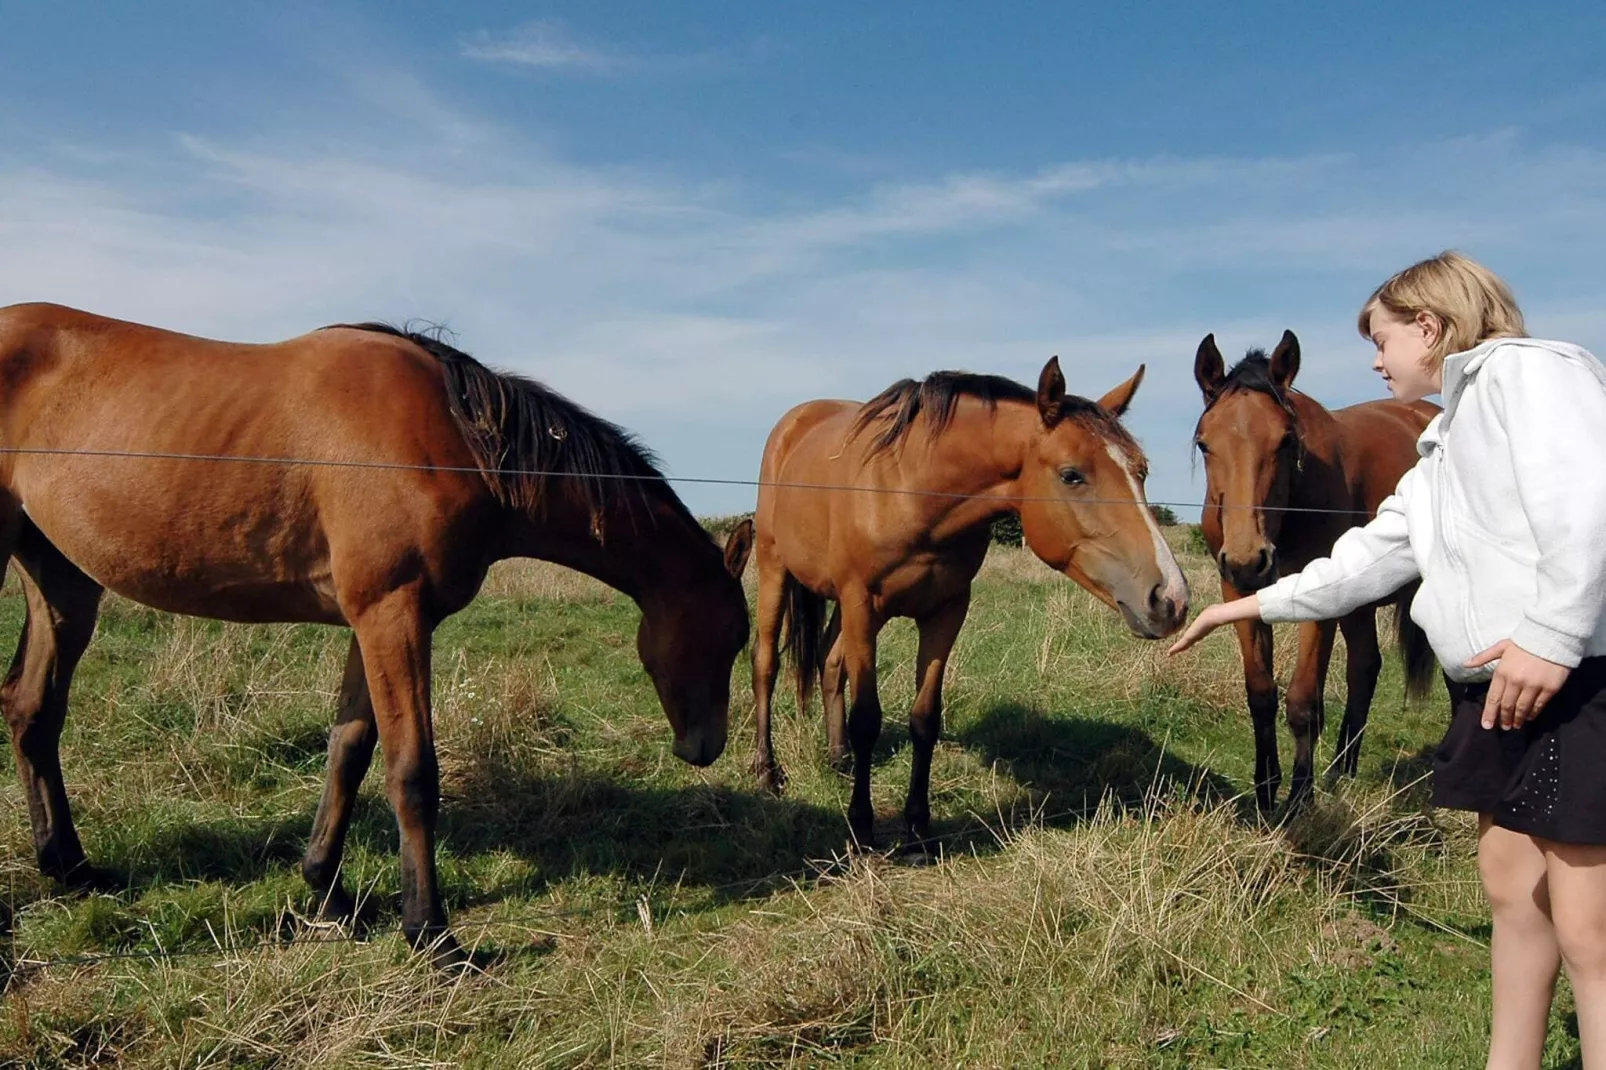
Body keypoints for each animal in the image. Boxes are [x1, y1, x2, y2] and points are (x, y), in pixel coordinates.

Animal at [0, 302, 751, 963]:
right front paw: (432, 934)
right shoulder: (394, 615)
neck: (457, 438)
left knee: (33, 710)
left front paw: (328, 893)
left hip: (62, 583)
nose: (704, 747)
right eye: (733, 635)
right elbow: (412, 771)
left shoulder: (371, 621)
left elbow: (349, 752)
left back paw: (71, 868)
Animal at [751, 358, 1194, 848]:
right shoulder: (861, 603)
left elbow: (925, 718)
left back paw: (838, 757)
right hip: (776, 568)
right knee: (766, 663)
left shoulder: (946, 610)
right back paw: (768, 771)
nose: (1170, 598)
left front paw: (917, 827)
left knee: (830, 664)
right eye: (1071, 474)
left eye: (1142, 471)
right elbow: (867, 717)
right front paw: (862, 826)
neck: (912, 490)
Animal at [1194, 329, 1445, 812]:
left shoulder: (1318, 599)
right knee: (1364, 668)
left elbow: (1302, 700)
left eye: (1287, 440)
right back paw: (1341, 772)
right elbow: (1261, 694)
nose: (1248, 560)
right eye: (1204, 442)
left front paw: (1299, 799)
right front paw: (1266, 790)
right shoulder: (1238, 595)